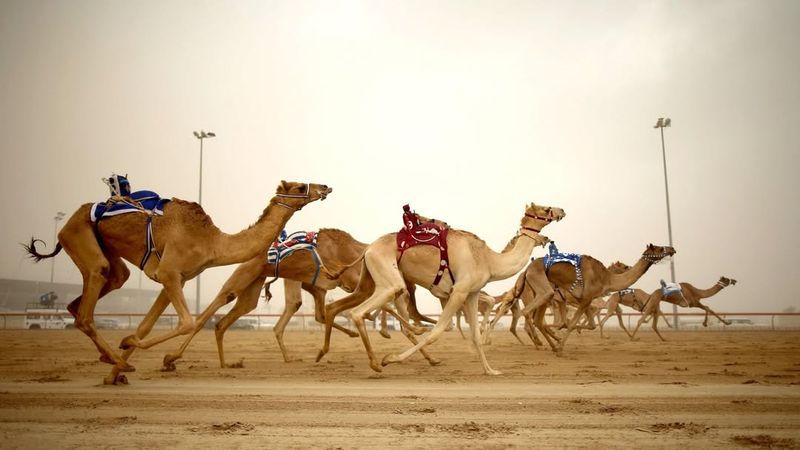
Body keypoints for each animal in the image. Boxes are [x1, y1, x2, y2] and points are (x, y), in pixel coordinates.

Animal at [24, 179, 332, 384]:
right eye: (298, 187)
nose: (325, 187)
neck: (212, 242)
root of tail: (71, 219)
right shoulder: (169, 273)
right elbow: (187, 322)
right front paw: (134, 351)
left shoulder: (177, 279)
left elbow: (147, 325)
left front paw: (116, 371)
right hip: (78, 234)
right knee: (87, 310)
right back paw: (116, 358)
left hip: (107, 255)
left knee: (94, 295)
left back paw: (113, 360)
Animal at [312, 202, 564, 374]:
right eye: (546, 209)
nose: (561, 210)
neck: (489, 260)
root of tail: (368, 248)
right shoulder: (459, 291)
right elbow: (439, 330)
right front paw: (391, 358)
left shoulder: (471, 293)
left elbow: (474, 334)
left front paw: (491, 370)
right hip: (389, 279)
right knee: (358, 312)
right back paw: (377, 363)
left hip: (368, 279)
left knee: (338, 307)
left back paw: (324, 352)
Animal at [520, 244, 676, 354]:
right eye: (660, 248)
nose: (672, 249)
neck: (606, 278)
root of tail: (527, 270)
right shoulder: (586, 298)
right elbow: (571, 323)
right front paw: (560, 347)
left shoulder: (585, 300)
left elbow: (589, 324)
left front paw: (563, 339)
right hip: (543, 290)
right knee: (527, 312)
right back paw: (540, 342)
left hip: (547, 296)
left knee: (538, 320)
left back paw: (550, 344)